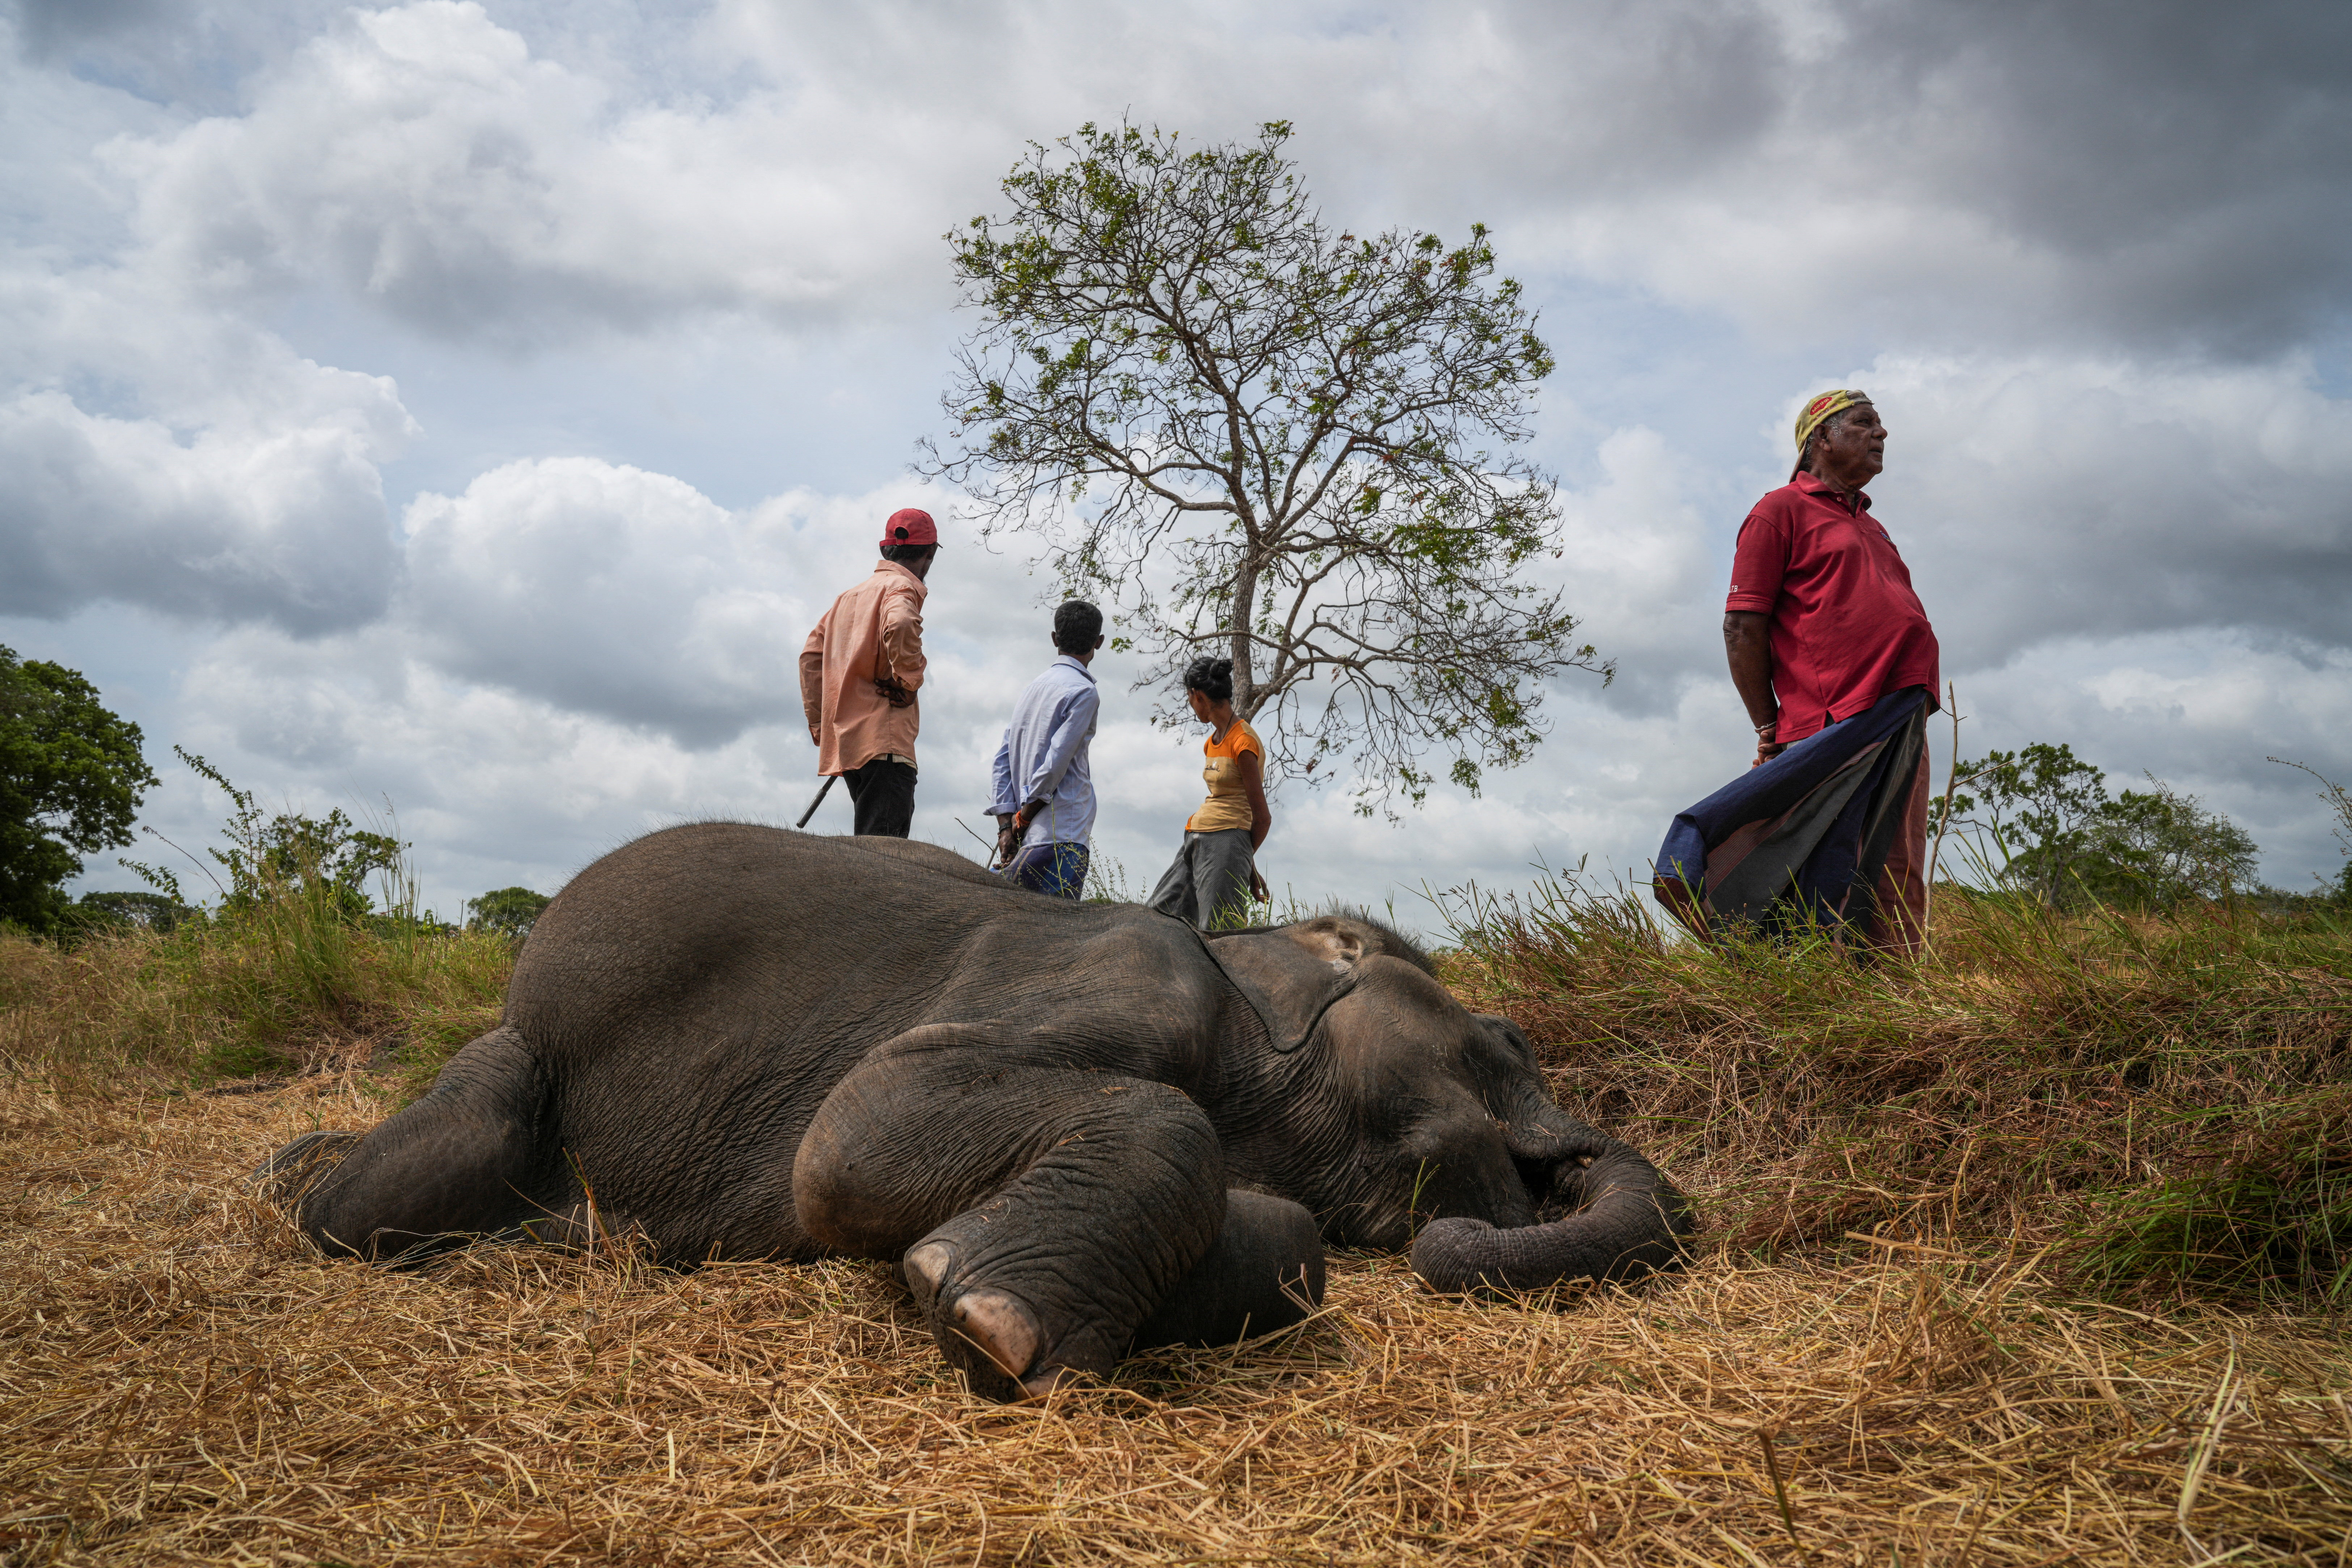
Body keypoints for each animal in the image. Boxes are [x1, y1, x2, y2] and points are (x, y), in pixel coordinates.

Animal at [259, 824, 1691, 1399]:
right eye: (1500, 1039)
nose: (1535, 1178)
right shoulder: (1120, 976)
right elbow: (857, 1124)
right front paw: (985, 1317)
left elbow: (1290, 1244)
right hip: (519, 1063)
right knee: (384, 1193)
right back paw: (304, 1181)